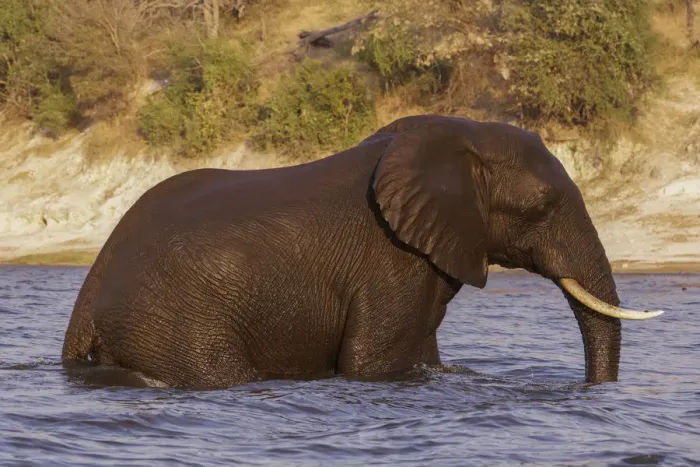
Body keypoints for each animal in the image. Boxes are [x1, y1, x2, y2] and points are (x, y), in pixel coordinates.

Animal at [62, 115, 663, 388]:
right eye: (543, 204)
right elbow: (372, 363)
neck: (458, 134)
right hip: (177, 322)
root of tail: (89, 291)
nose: (589, 391)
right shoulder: (390, 262)